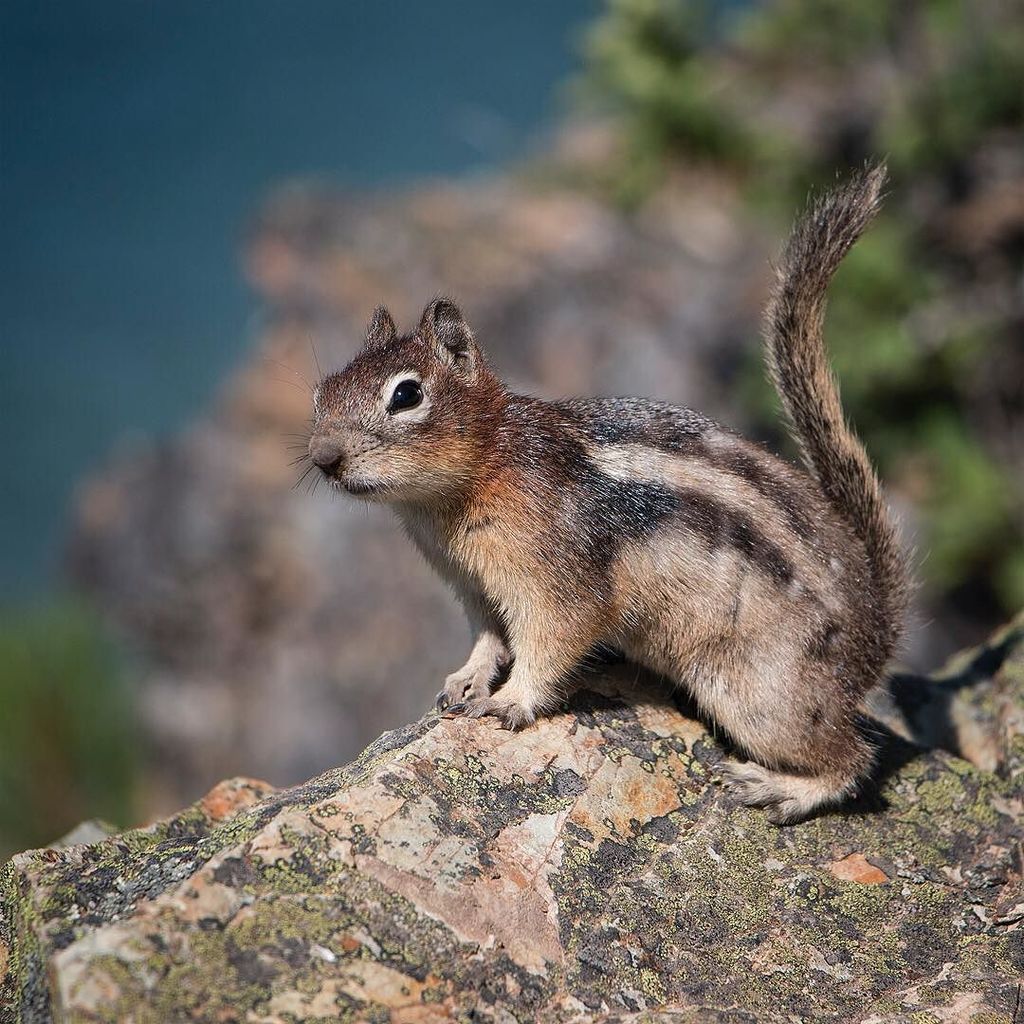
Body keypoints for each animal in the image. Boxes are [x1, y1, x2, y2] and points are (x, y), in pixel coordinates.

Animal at [306, 165, 909, 824]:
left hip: (760, 693)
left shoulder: (553, 579)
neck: (479, 474)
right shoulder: (474, 587)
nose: (323, 458)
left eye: (407, 395)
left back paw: (779, 788)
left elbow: (554, 640)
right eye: (323, 389)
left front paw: (510, 701)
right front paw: (465, 680)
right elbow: (489, 638)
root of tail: (878, 631)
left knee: (852, 757)